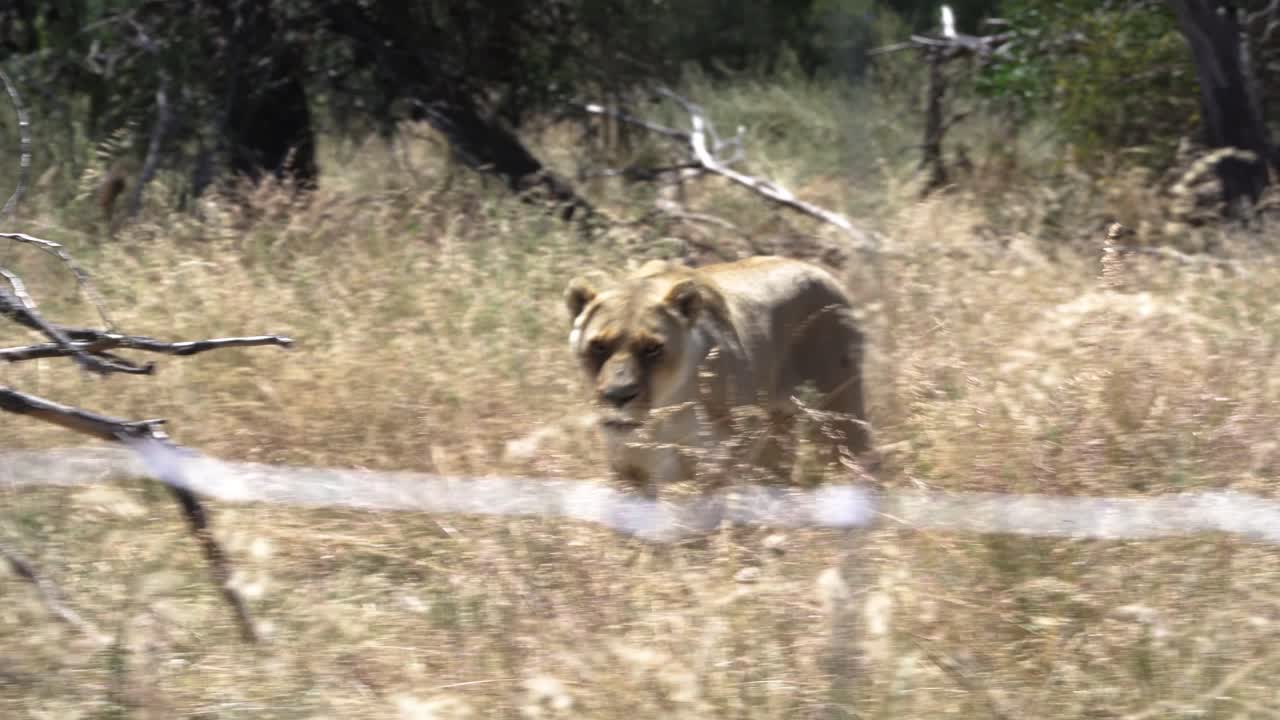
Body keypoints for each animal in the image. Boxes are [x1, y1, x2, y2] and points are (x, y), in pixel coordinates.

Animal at [565, 256, 870, 498]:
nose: (618, 396)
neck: (664, 409)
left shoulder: (722, 459)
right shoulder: (627, 467)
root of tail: (823, 272)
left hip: (841, 414)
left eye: (652, 348)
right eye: (599, 346)